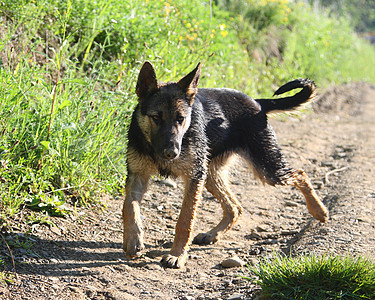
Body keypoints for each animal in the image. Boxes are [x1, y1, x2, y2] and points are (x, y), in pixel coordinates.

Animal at [122, 60, 328, 268]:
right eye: (156, 117)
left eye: (180, 119)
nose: (172, 153)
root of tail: (257, 103)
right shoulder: (137, 175)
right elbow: (129, 207)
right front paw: (133, 241)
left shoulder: (194, 177)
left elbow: (185, 220)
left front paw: (177, 255)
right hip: (211, 176)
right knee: (235, 208)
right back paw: (212, 234)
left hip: (267, 170)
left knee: (300, 174)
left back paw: (319, 211)